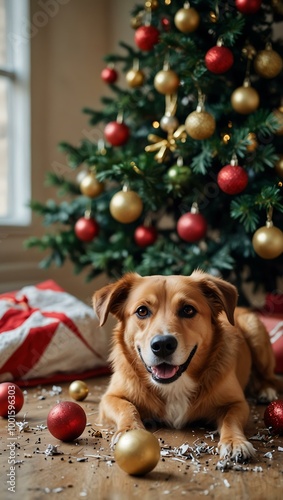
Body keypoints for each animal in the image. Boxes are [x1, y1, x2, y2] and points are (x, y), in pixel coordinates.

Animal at [92, 272, 282, 462]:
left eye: (188, 310)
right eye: (142, 311)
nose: (163, 345)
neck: (175, 385)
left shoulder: (237, 403)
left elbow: (231, 420)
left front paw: (234, 441)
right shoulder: (110, 398)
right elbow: (127, 408)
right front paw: (130, 432)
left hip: (255, 332)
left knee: (268, 377)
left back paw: (266, 391)